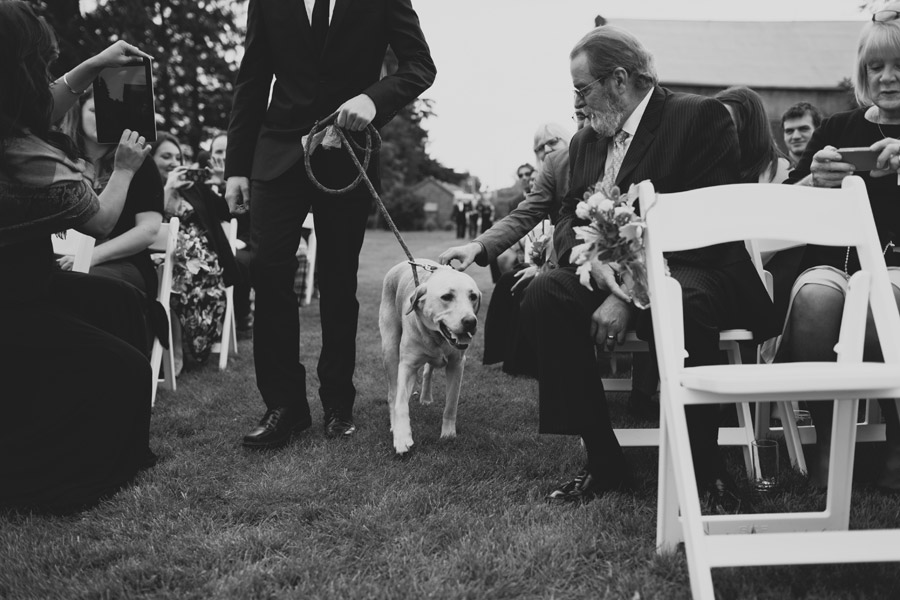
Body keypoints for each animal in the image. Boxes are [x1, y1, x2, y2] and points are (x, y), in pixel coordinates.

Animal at [378, 258, 482, 454]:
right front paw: (402, 437)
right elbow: (400, 403)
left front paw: (448, 434)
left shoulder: (457, 364)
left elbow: (451, 404)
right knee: (393, 392)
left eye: (473, 296)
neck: (437, 338)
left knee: (427, 371)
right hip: (390, 348)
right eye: (447, 297)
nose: (471, 322)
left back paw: (425, 397)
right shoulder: (407, 365)